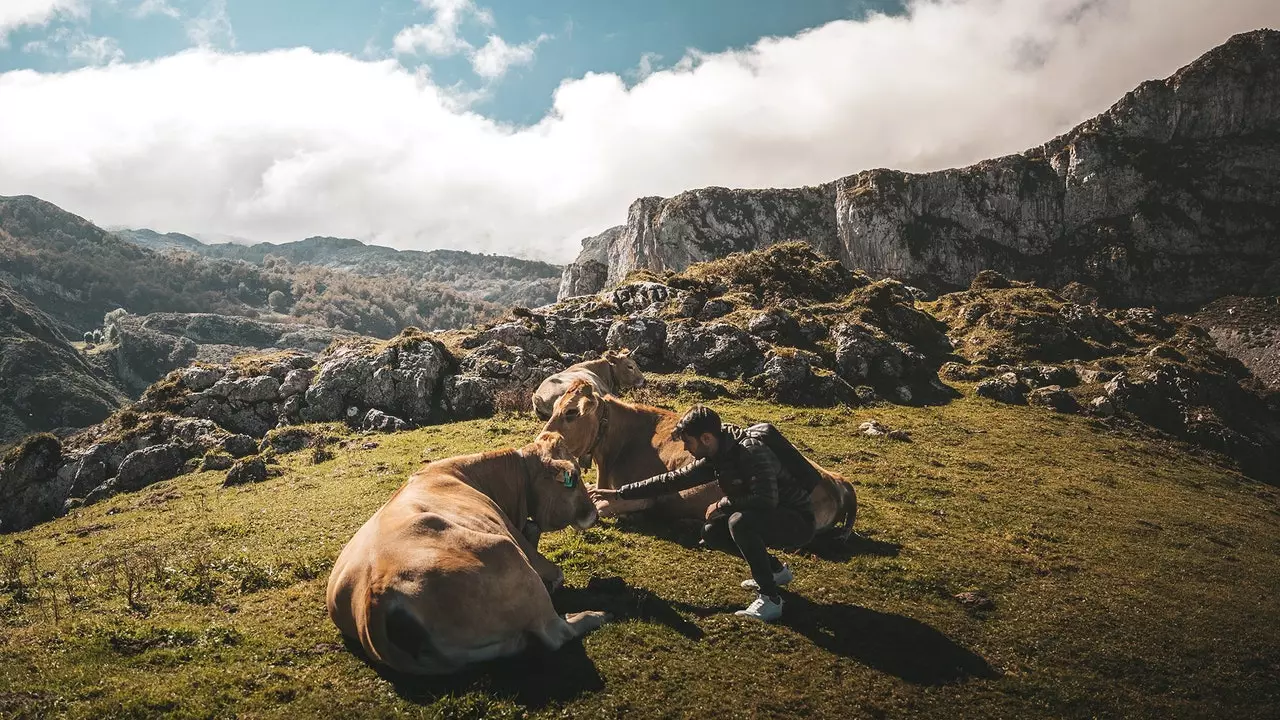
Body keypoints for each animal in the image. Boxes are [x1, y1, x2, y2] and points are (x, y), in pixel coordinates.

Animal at [327, 427, 611, 671]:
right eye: (575, 477)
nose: (595, 514)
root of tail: (378, 593)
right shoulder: (521, 543)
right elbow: (554, 569)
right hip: (505, 550)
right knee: (555, 633)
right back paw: (593, 615)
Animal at [542, 381, 860, 538]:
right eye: (555, 407)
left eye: (571, 412)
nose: (543, 439)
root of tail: (840, 482)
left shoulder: (646, 496)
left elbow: (601, 506)